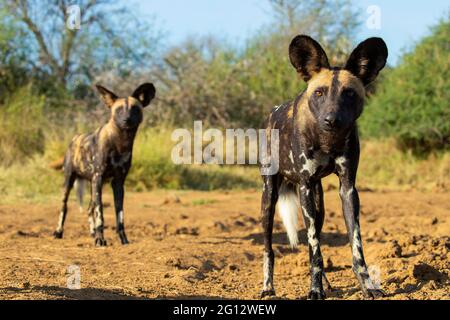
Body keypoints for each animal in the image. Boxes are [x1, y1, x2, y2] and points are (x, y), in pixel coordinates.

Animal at [53, 82, 156, 245]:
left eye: (135, 109)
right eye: (119, 110)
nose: (127, 120)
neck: (120, 143)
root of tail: (74, 138)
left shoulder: (118, 182)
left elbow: (119, 215)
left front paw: (123, 239)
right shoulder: (99, 178)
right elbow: (100, 212)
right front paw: (100, 240)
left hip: (92, 183)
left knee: (89, 208)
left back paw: (92, 232)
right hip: (70, 182)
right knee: (65, 206)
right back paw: (58, 232)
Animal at [262, 35, 388, 300]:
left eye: (349, 93)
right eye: (319, 92)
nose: (332, 120)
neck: (328, 141)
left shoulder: (348, 189)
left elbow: (355, 247)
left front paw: (367, 286)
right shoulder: (304, 187)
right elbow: (314, 250)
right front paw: (314, 290)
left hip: (318, 204)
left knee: (316, 239)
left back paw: (327, 284)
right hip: (269, 198)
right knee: (270, 247)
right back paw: (268, 287)